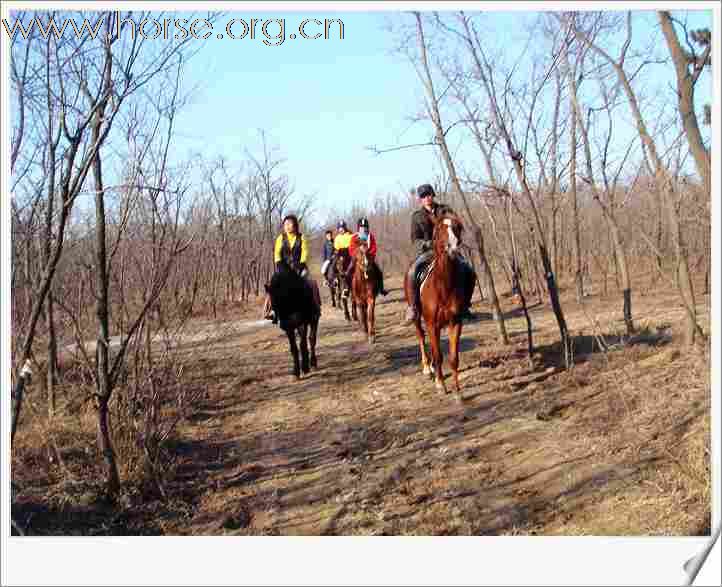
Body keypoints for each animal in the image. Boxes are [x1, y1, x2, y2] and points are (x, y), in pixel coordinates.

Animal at [402, 211, 470, 400]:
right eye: (439, 229)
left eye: (458, 227)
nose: (454, 247)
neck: (443, 285)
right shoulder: (432, 324)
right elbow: (439, 355)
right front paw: (441, 385)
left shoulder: (455, 323)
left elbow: (453, 357)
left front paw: (457, 392)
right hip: (419, 318)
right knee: (421, 336)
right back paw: (427, 368)